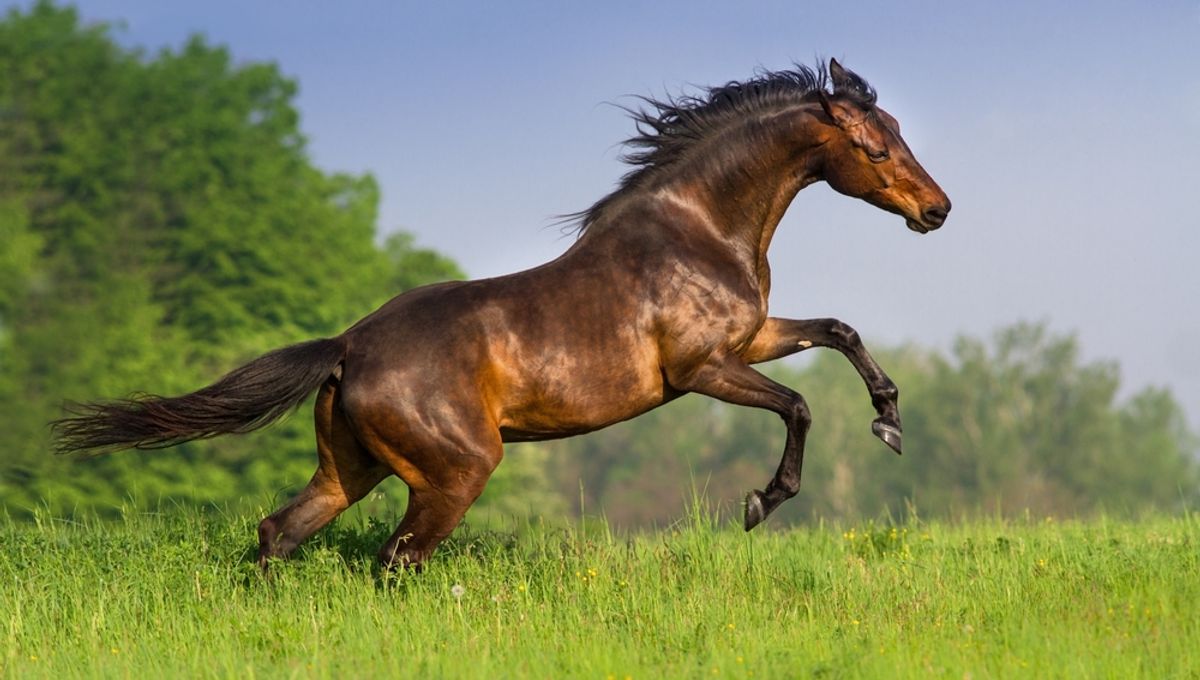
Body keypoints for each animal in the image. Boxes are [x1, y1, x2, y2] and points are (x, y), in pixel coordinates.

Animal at [53, 59, 950, 570]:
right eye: (874, 147)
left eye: (901, 131)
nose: (937, 210)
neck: (699, 229)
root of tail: (348, 346)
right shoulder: (701, 369)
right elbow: (798, 405)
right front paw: (762, 503)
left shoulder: (752, 336)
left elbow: (839, 331)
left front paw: (889, 422)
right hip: (457, 470)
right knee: (397, 556)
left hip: (352, 468)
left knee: (282, 532)